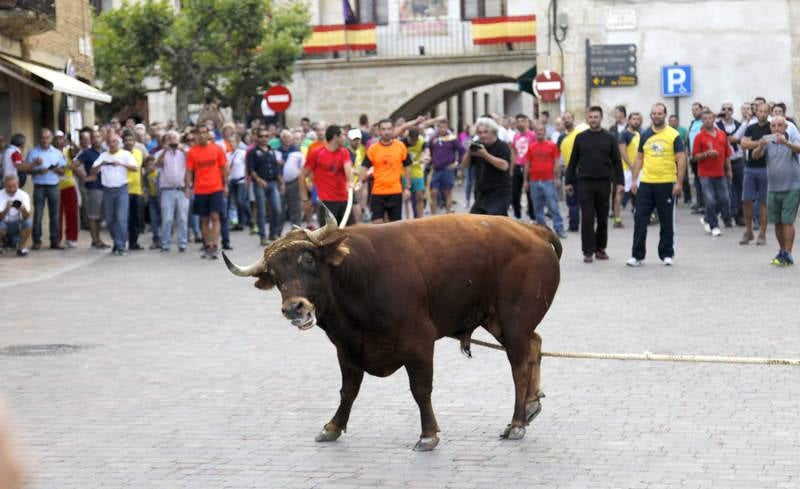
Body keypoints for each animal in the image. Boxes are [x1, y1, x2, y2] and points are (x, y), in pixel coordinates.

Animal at [223, 209, 564, 450]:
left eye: (307, 259)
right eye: (275, 274)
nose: (295, 307)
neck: (355, 276)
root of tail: (532, 229)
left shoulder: (419, 342)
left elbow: (420, 389)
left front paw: (428, 435)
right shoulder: (346, 348)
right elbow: (348, 390)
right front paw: (332, 427)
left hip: (514, 320)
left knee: (519, 366)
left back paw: (517, 422)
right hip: (499, 321)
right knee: (535, 345)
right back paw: (531, 406)